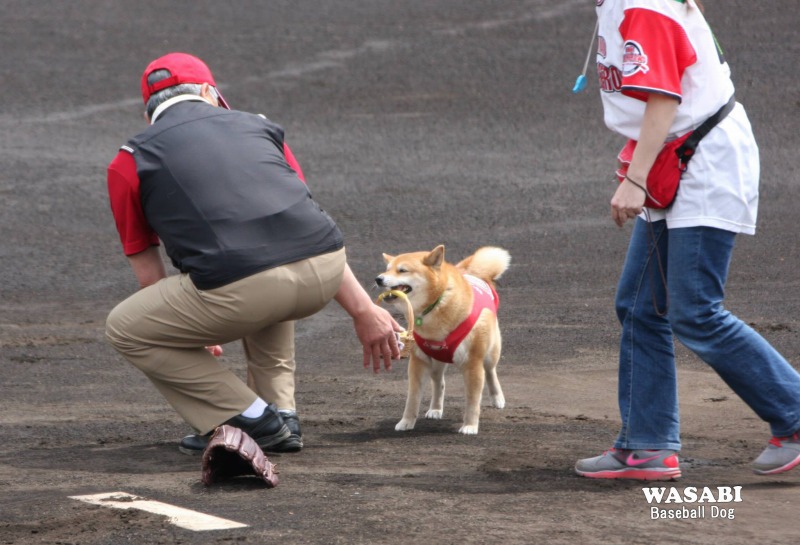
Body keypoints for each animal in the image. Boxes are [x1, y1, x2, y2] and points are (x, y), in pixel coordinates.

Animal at [375, 245, 510, 435]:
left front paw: (470, 425)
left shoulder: (473, 364)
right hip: (436, 362)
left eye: (402, 270)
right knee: (439, 383)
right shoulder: (418, 362)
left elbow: (472, 400)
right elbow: (412, 399)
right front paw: (407, 421)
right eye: (387, 269)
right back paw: (435, 409)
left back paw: (497, 398)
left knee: (491, 372)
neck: (435, 306)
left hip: (490, 354)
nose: (378, 279)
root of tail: (472, 273)